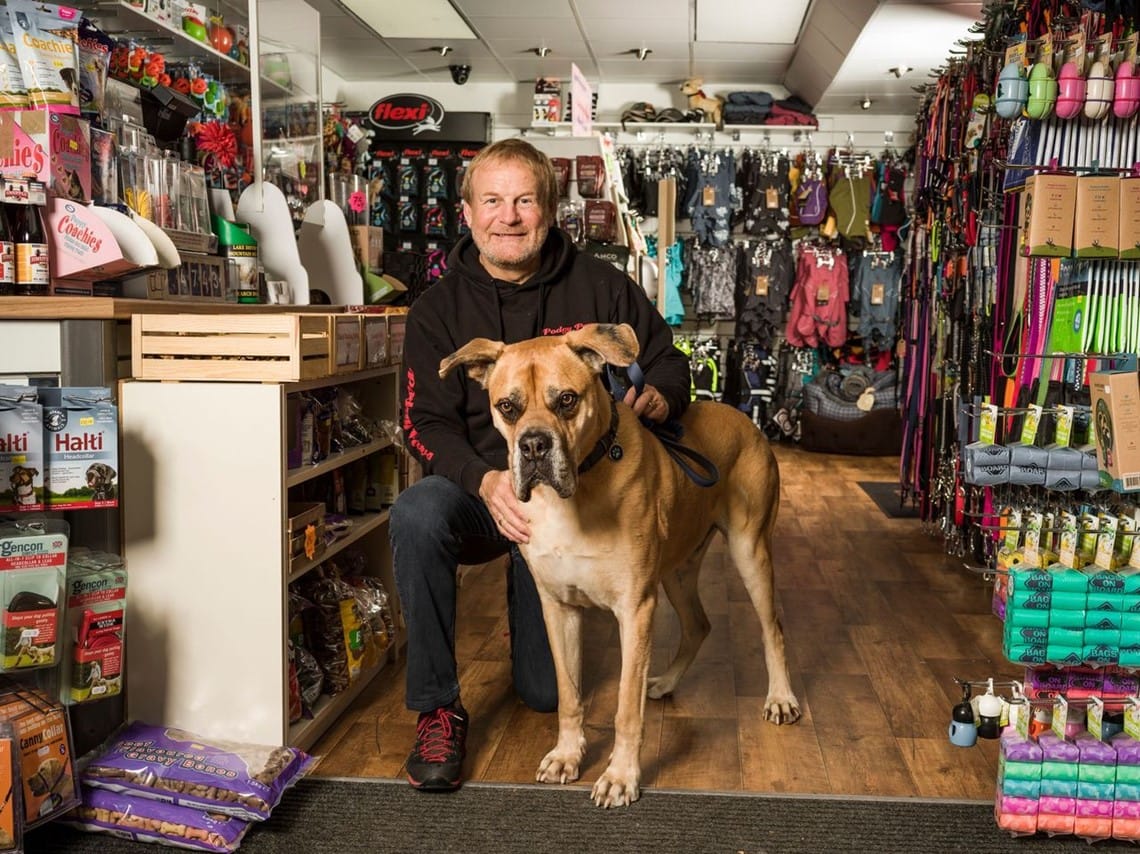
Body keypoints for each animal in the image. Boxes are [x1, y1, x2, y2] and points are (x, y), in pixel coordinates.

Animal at [440, 321, 798, 807]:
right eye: (507, 407)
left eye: (566, 400)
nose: (533, 446)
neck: (578, 491)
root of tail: (745, 418)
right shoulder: (559, 610)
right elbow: (569, 694)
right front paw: (567, 755)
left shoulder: (635, 609)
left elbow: (627, 707)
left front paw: (621, 776)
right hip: (677, 570)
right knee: (699, 624)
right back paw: (666, 682)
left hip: (750, 550)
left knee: (771, 628)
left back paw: (780, 697)